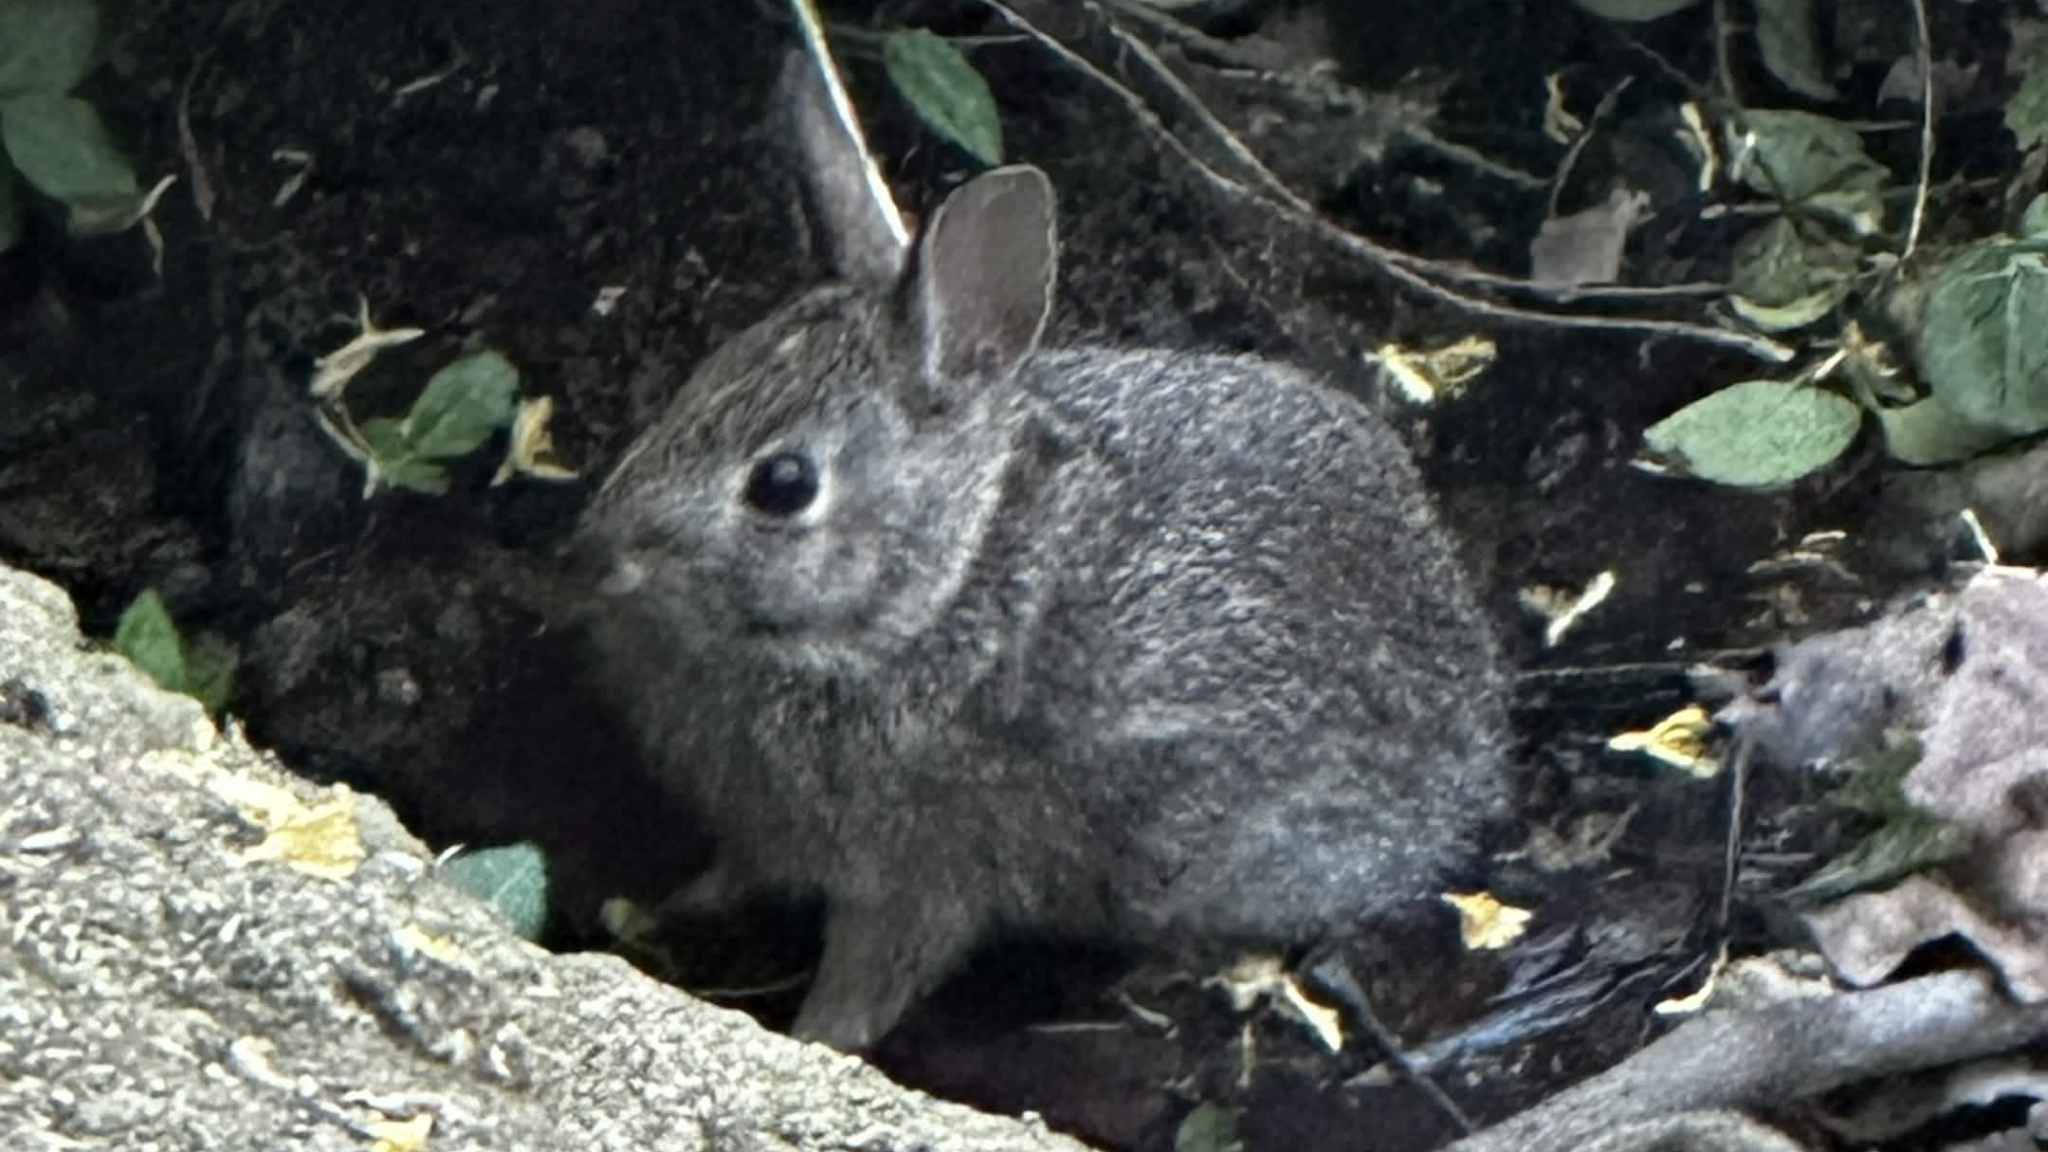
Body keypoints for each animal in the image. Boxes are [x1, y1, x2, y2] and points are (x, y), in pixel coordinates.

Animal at [573, 50, 1512, 1052]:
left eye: (783, 484)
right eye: (693, 385)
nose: (602, 551)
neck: (940, 590)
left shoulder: (916, 869)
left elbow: (871, 977)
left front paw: (808, 1041)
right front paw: (673, 903)